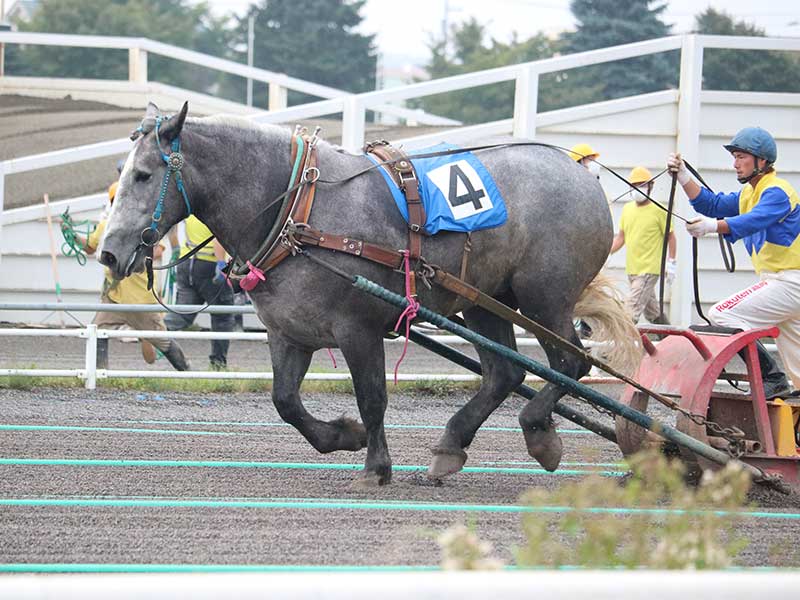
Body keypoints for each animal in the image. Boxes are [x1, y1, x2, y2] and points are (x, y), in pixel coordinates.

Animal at [101, 103, 636, 488]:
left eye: (144, 174)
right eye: (122, 173)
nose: (108, 252)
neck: (300, 210)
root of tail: (581, 172)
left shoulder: (358, 330)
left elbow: (373, 397)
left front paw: (376, 466)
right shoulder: (289, 333)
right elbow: (285, 401)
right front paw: (343, 436)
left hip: (544, 298)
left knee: (569, 364)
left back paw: (538, 429)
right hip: (486, 302)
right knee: (505, 372)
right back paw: (451, 446)